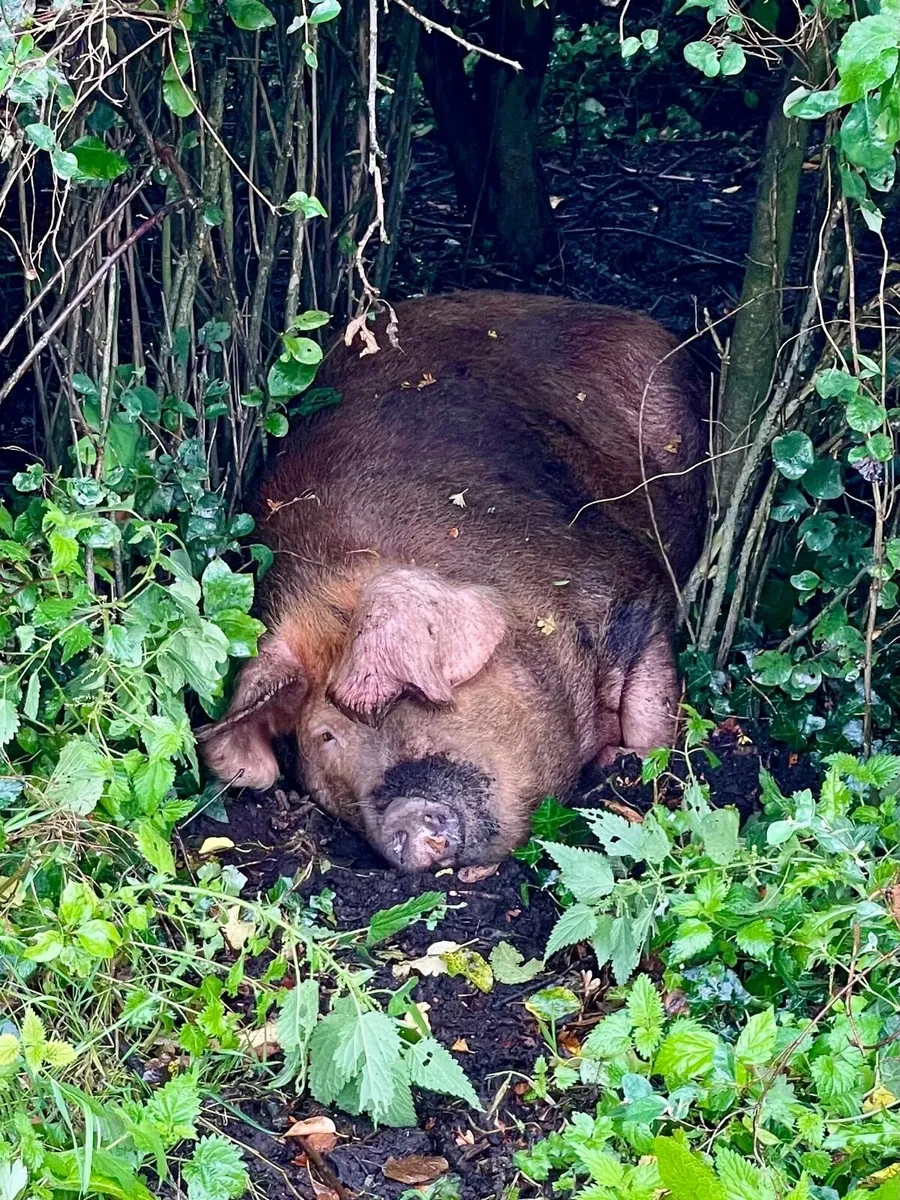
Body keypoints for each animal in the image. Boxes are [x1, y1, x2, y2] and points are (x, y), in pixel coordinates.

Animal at [197, 291, 708, 871]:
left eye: (405, 695)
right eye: (325, 737)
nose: (405, 818)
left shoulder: (633, 590)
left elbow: (650, 714)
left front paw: (627, 761)